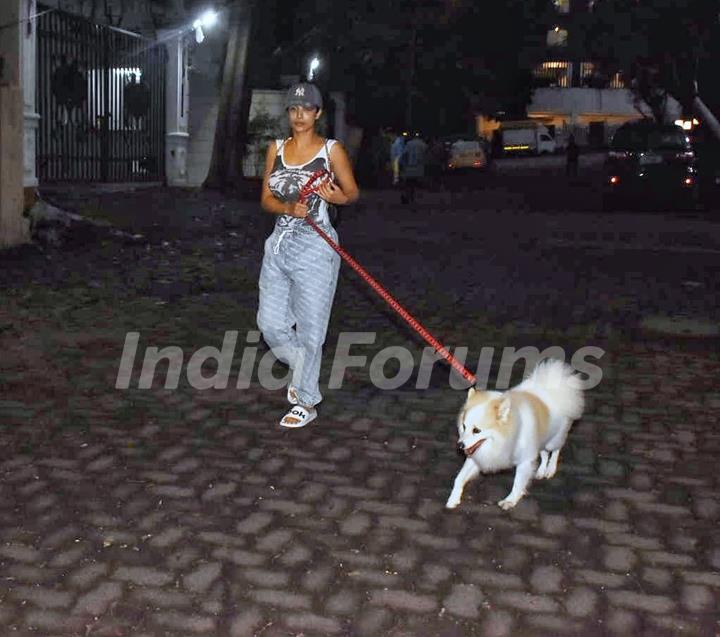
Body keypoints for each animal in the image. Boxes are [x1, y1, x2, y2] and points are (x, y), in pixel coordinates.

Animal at [444, 360, 584, 510]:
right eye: (464, 426)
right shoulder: (478, 457)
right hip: (540, 440)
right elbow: (459, 478)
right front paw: (453, 499)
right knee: (544, 453)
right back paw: (541, 471)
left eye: (477, 430)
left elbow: (518, 483)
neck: (505, 435)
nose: (460, 445)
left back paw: (550, 470)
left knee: (555, 451)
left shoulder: (525, 461)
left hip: (552, 440)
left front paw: (510, 500)